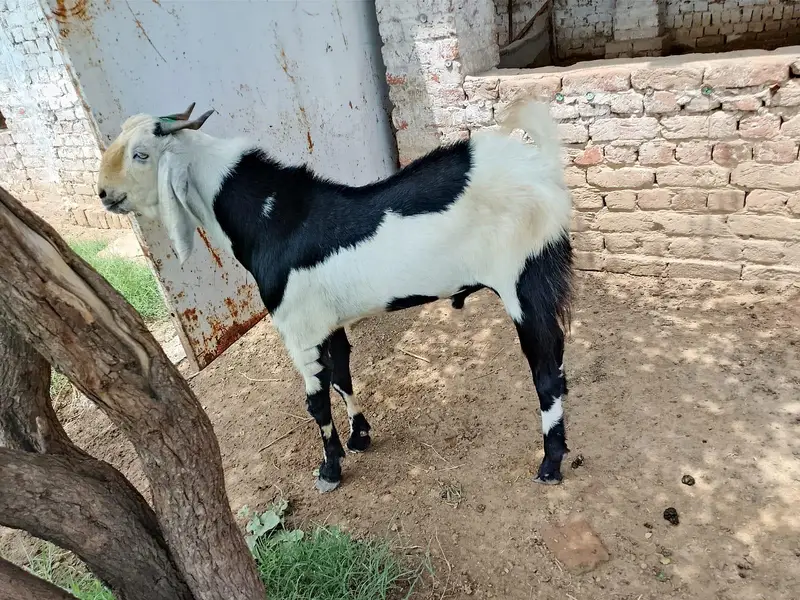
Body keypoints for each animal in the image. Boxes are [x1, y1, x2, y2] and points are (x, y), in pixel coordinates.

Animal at [97, 100, 573, 493]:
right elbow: (343, 374)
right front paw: (360, 437)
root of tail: (541, 167)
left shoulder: (297, 330)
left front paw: (330, 468)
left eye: (141, 154)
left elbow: (315, 400)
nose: (103, 194)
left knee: (546, 374)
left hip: (526, 280)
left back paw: (550, 465)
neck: (272, 221)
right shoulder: (327, 321)